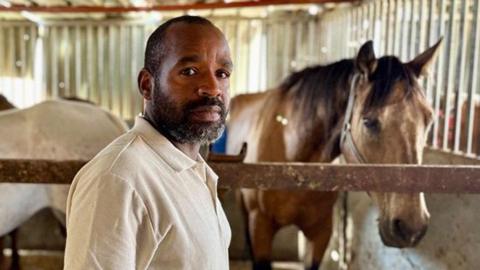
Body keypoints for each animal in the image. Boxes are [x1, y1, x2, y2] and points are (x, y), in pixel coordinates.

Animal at [228, 40, 442, 270]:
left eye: (429, 120)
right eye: (369, 122)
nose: (411, 227)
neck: (293, 160)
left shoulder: (321, 232)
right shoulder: (260, 227)